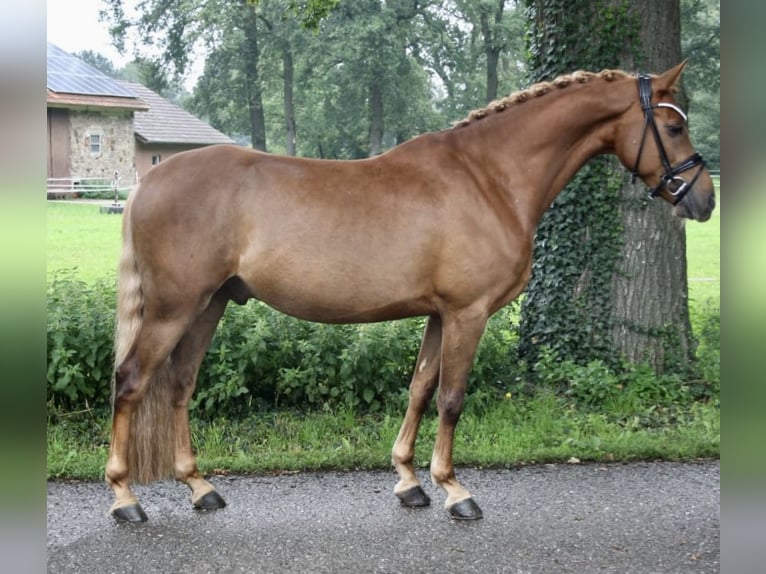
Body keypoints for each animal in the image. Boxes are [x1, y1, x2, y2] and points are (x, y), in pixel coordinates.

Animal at [106, 62, 712, 520]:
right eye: (673, 128)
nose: (703, 199)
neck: (488, 178)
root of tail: (149, 180)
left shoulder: (440, 314)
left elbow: (420, 389)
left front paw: (409, 481)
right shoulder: (468, 313)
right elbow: (451, 398)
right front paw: (455, 489)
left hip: (208, 305)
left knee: (180, 384)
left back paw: (199, 487)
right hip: (173, 309)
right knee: (132, 382)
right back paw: (124, 498)